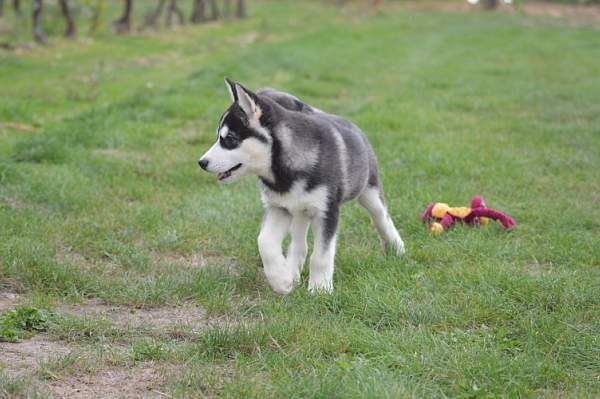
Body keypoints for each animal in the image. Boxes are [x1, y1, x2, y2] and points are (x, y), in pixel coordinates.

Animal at [199, 79, 406, 296]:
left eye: (229, 139)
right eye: (218, 137)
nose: (201, 162)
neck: (283, 174)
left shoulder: (327, 211)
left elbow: (321, 256)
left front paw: (320, 289)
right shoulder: (279, 207)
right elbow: (264, 242)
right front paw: (281, 280)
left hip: (368, 190)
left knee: (381, 217)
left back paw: (396, 247)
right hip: (298, 210)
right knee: (299, 244)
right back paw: (291, 271)